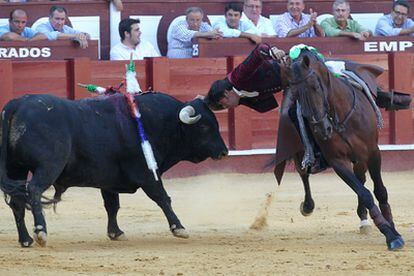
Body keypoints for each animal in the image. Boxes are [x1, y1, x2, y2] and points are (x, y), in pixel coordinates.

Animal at [0, 91, 228, 247]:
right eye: (204, 126)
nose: (224, 151)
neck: (158, 122)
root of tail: (16, 104)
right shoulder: (148, 175)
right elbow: (163, 198)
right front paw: (179, 228)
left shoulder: (108, 181)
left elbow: (112, 206)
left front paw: (115, 233)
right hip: (48, 166)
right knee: (34, 190)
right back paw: (40, 232)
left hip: (16, 168)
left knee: (17, 202)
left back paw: (26, 239)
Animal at [284, 49, 402, 250]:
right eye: (296, 94)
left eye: (315, 86)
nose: (322, 129)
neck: (339, 117)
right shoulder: (337, 161)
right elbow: (364, 193)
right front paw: (389, 234)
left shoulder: (373, 152)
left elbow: (379, 190)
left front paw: (392, 227)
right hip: (301, 152)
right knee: (303, 173)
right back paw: (308, 206)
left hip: (361, 156)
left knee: (361, 177)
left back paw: (364, 220)